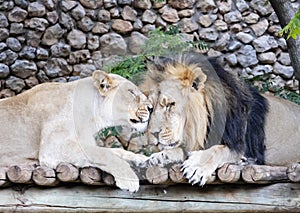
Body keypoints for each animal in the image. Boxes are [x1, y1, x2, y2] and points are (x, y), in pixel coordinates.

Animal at [0, 69, 152, 191]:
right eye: (131, 92)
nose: (151, 108)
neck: (92, 119)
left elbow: (116, 151)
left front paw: (143, 158)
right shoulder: (53, 148)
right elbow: (104, 154)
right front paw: (129, 178)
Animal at [141, 52, 300, 186]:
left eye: (170, 104)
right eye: (151, 108)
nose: (153, 134)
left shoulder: (243, 147)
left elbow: (218, 150)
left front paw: (197, 166)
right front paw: (160, 157)